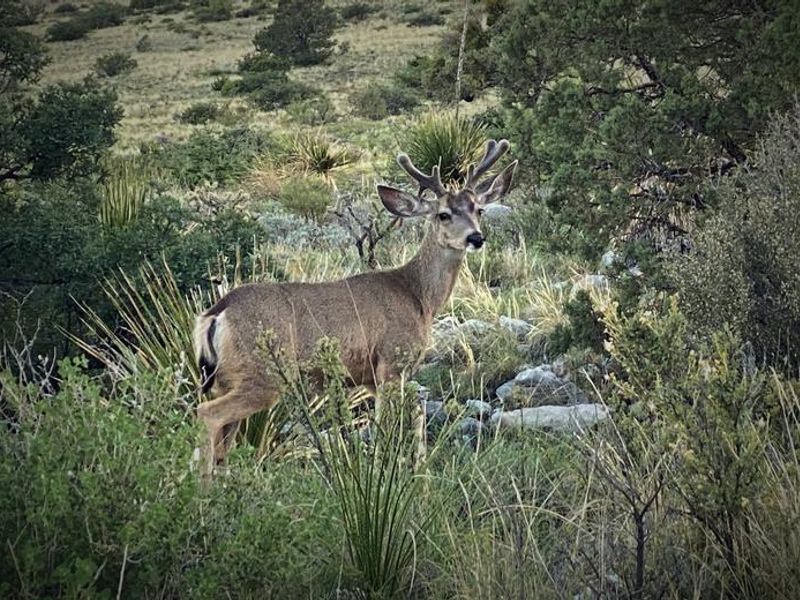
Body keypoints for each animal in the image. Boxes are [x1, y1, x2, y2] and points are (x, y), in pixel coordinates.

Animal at [194, 139, 517, 475]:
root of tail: (215, 313)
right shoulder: (392, 362)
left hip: (224, 378)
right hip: (264, 373)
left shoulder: (370, 378)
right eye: (443, 214)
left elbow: (411, 416)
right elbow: (389, 427)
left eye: (479, 209)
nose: (475, 237)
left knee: (221, 439)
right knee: (208, 414)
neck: (418, 296)